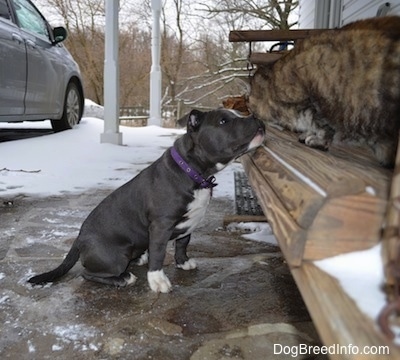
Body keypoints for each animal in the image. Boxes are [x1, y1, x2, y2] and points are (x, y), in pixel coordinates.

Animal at [28, 109, 266, 292]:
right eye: (224, 121)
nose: (257, 117)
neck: (193, 172)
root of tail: (79, 239)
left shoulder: (188, 223)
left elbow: (183, 243)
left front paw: (183, 262)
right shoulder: (161, 225)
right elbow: (159, 254)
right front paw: (158, 281)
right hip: (116, 257)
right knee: (87, 273)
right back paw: (124, 278)